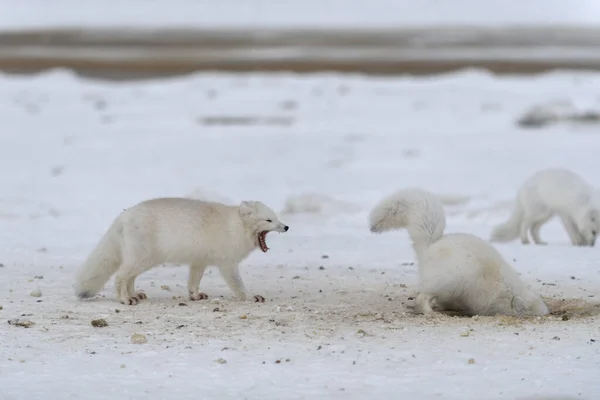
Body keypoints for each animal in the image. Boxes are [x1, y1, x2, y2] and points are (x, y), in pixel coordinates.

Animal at [74, 198, 290, 306]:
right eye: (269, 220)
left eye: (276, 218)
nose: (286, 227)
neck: (235, 227)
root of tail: (124, 215)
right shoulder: (227, 263)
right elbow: (238, 285)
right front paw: (250, 297)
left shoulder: (200, 260)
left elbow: (193, 281)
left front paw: (195, 296)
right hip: (141, 259)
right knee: (120, 276)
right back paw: (125, 299)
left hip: (142, 260)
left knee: (130, 278)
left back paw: (135, 295)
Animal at [366, 189, 548, 318]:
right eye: (531, 314)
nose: (546, 314)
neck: (507, 291)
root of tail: (431, 246)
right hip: (446, 281)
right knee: (422, 296)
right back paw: (431, 312)